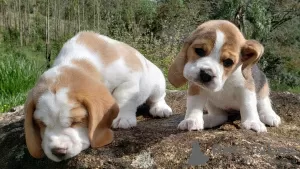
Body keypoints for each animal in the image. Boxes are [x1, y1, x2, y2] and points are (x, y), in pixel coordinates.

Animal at [24, 31, 171, 162]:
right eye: (41, 124)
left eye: (76, 121)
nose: (58, 151)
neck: (78, 60)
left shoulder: (129, 80)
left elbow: (123, 98)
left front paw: (122, 119)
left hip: (157, 84)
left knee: (158, 98)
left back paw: (160, 109)